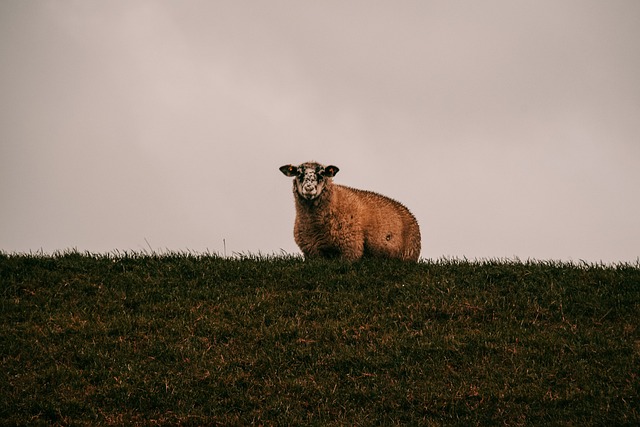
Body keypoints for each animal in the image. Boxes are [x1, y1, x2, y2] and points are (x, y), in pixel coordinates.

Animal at [278, 160, 420, 260]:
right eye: (298, 173)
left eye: (322, 173)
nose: (309, 188)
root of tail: (407, 210)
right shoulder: (312, 252)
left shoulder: (350, 250)